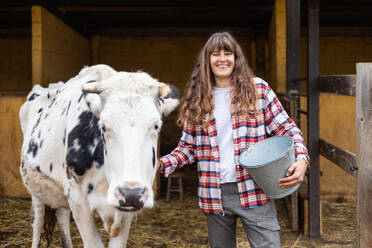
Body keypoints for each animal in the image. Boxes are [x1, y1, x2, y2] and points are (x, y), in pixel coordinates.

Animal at [19, 64, 179, 248]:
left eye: (156, 126)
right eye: (103, 126)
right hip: (36, 188)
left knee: (62, 215)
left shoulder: (126, 209)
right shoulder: (78, 200)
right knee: (37, 221)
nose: (131, 193)